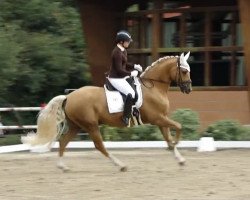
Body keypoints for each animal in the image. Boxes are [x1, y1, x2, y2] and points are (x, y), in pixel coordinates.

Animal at [22, 52, 193, 172]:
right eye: (184, 71)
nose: (188, 89)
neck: (153, 87)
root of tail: (69, 97)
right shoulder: (157, 118)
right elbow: (178, 126)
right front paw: (176, 144)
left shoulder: (161, 119)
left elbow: (168, 137)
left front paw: (179, 158)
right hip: (90, 125)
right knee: (99, 146)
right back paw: (121, 165)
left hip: (77, 126)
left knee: (63, 142)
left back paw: (63, 166)